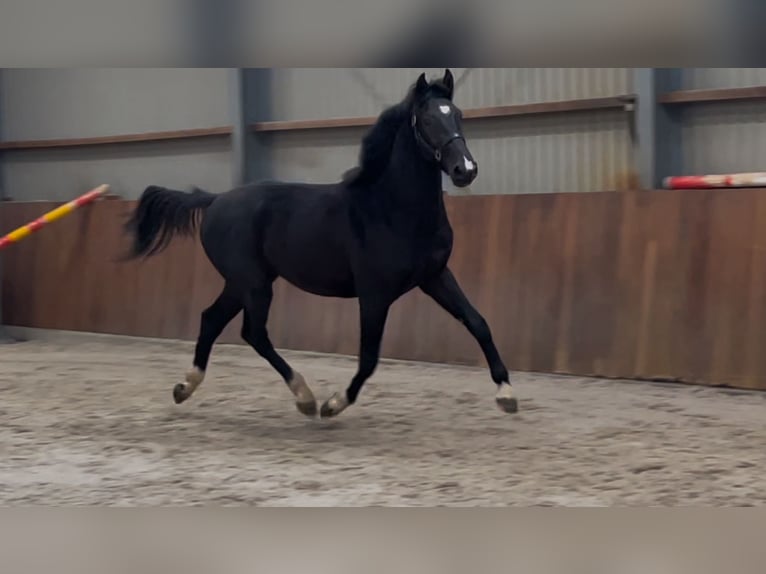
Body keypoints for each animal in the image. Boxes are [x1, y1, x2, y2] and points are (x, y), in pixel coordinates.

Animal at [126, 71, 520, 418]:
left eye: (458, 115)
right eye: (425, 120)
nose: (465, 170)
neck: (391, 209)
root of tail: (215, 199)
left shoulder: (435, 276)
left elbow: (478, 322)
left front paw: (506, 394)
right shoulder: (374, 293)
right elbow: (369, 357)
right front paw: (334, 405)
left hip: (243, 283)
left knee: (212, 320)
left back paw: (185, 388)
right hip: (253, 283)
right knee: (253, 332)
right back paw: (305, 397)